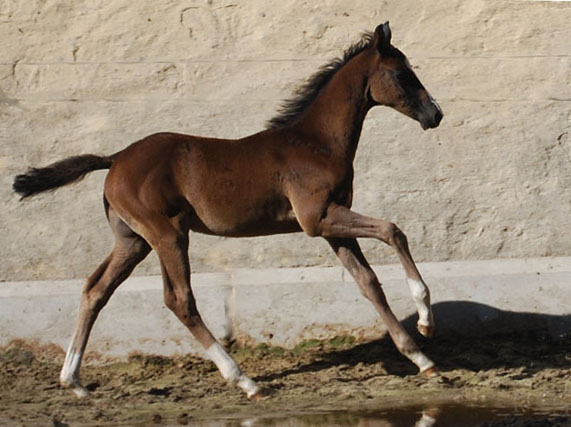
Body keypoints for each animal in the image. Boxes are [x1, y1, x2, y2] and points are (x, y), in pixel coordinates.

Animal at [12, 21, 442, 400]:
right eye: (402, 73)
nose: (434, 115)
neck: (315, 142)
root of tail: (115, 158)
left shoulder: (331, 225)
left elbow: (368, 281)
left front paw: (421, 359)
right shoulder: (318, 219)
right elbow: (392, 229)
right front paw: (425, 319)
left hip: (133, 241)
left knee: (96, 289)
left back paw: (74, 381)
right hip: (168, 235)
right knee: (179, 300)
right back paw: (246, 381)